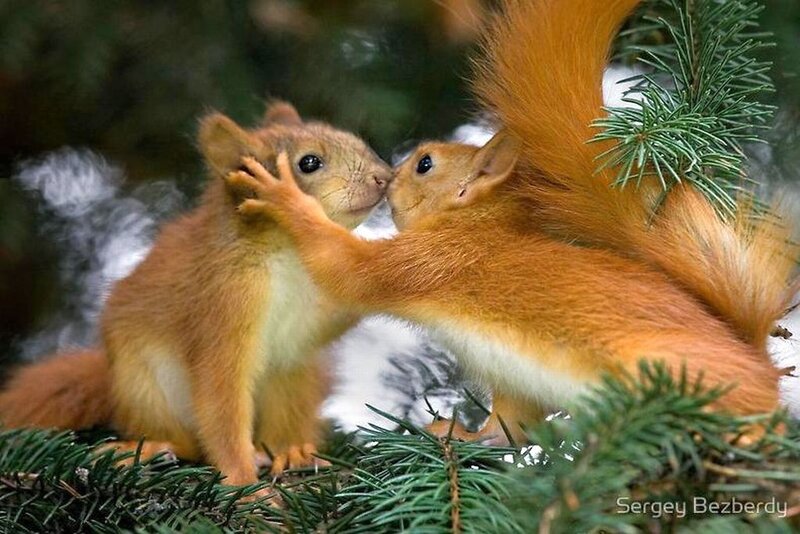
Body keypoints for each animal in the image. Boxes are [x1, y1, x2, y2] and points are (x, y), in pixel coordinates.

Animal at [0, 101, 391, 488]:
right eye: (309, 163)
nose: (384, 177)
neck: (290, 255)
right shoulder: (222, 304)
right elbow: (221, 399)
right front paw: (244, 485)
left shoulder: (312, 314)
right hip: (144, 386)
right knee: (186, 441)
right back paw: (152, 448)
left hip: (295, 375)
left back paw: (292, 451)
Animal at [223, 0, 798, 445]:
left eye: (425, 164)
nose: (385, 177)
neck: (476, 225)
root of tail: (755, 361)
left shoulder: (429, 261)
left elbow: (348, 268)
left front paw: (284, 198)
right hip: (519, 383)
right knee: (510, 430)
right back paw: (461, 434)